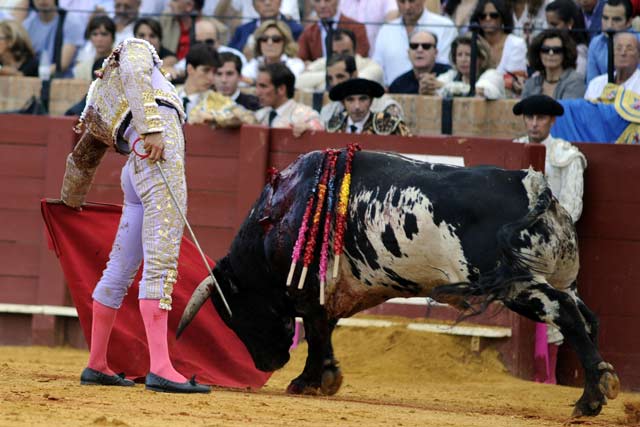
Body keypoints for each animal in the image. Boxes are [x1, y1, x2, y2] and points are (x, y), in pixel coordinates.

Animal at [179, 150, 620, 418]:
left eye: (237, 315)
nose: (267, 364)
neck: (280, 213)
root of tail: (535, 187)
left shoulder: (310, 291)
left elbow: (317, 331)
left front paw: (310, 381)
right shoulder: (332, 293)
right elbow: (324, 329)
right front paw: (319, 378)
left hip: (519, 286)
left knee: (564, 314)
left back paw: (591, 397)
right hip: (560, 276)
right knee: (586, 317)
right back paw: (596, 388)